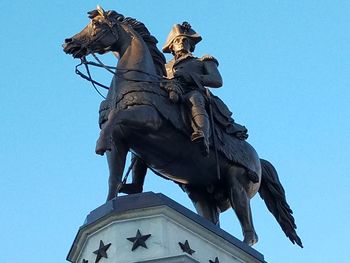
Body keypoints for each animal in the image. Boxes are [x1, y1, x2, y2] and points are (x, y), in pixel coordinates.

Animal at [62, 6, 300, 250]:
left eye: (97, 24)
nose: (68, 43)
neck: (136, 81)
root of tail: (258, 159)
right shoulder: (122, 142)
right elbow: (114, 175)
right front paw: (111, 199)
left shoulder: (146, 119)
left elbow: (115, 120)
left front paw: (99, 144)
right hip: (199, 192)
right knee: (212, 219)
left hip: (237, 184)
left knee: (249, 225)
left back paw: (244, 242)